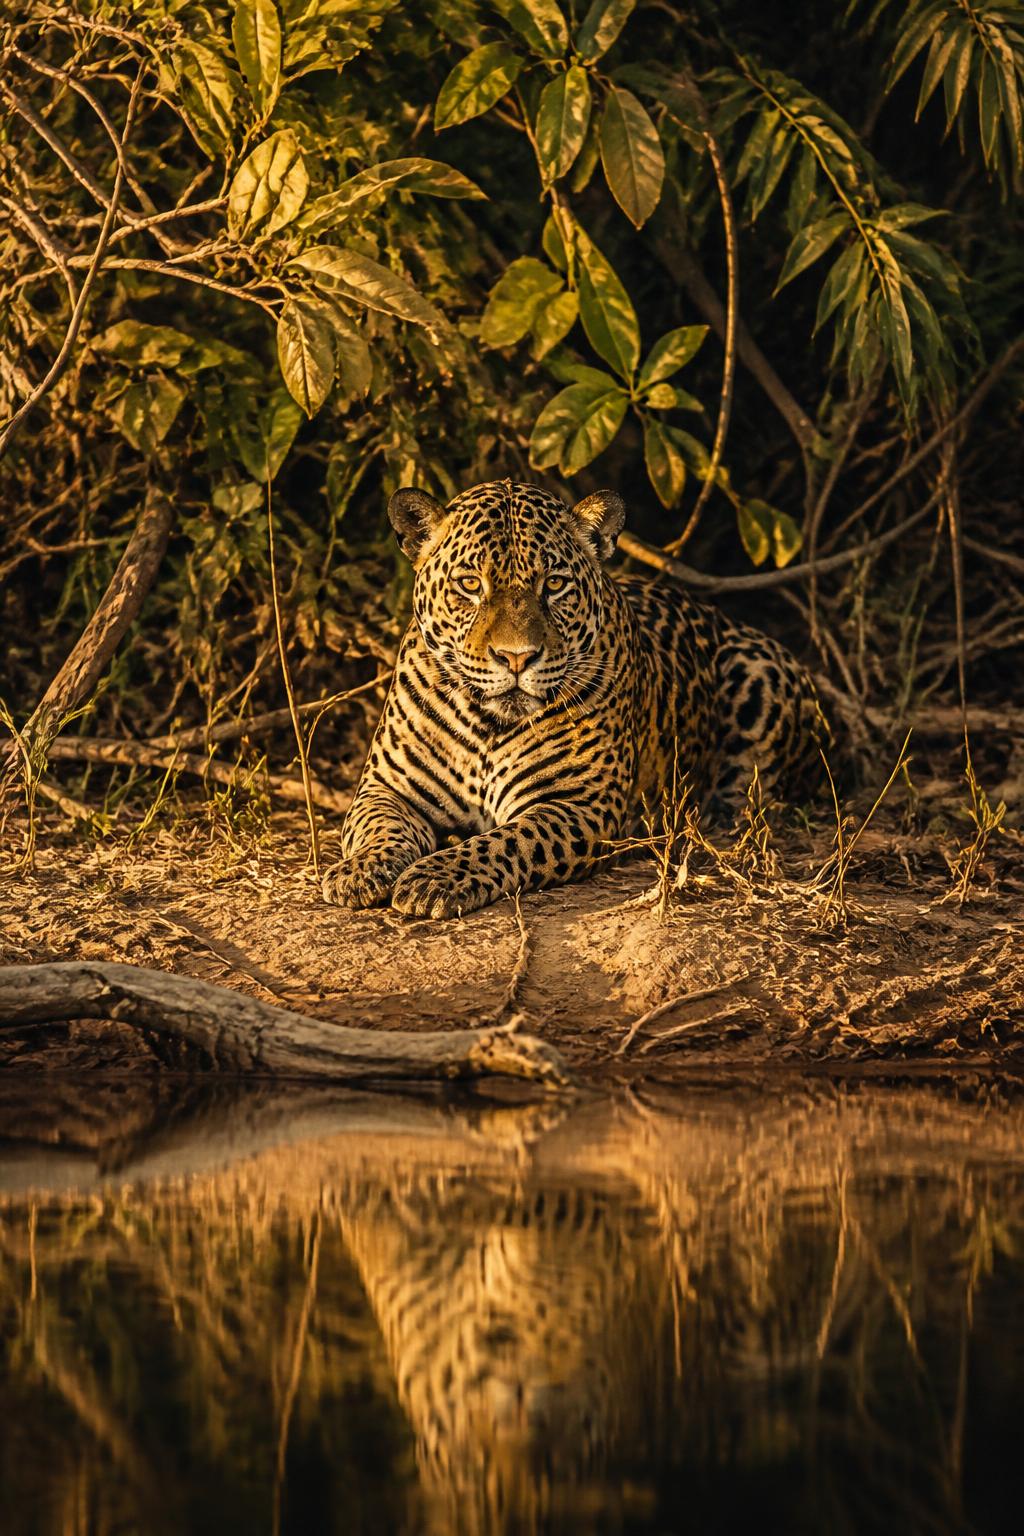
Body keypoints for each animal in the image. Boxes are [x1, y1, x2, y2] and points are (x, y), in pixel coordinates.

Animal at [322, 478, 825, 920]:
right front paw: (359, 871)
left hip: (758, 667)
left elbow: (505, 841)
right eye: (470, 585)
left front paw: (437, 878)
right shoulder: (386, 786)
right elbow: (378, 826)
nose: (516, 658)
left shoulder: (578, 803)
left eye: (554, 585)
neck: (488, 724)